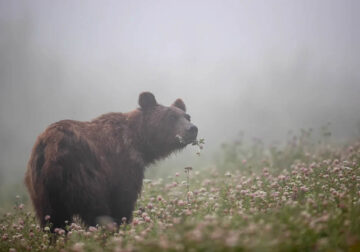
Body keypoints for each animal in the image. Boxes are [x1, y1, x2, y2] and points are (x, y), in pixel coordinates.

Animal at [23, 91, 198, 229]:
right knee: (95, 210)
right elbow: (122, 203)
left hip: (41, 187)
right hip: (80, 173)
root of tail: (50, 145)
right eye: (171, 117)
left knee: (53, 220)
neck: (139, 142)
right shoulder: (122, 165)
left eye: (187, 116)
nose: (192, 129)